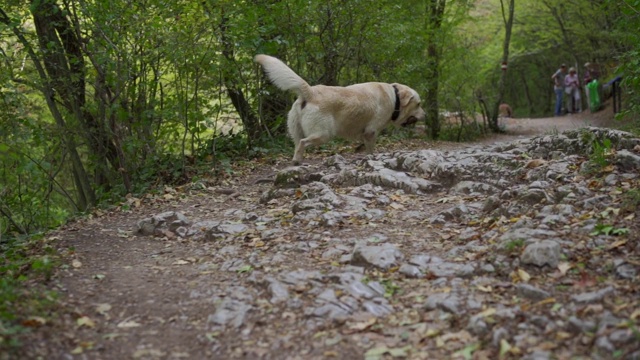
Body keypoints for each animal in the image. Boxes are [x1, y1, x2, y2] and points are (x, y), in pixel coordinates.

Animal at [255, 54, 424, 164]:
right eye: (418, 104)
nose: (425, 114)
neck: (394, 97)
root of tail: (310, 91)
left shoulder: (365, 133)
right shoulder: (371, 132)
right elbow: (370, 149)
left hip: (296, 130)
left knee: (297, 144)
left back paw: (297, 160)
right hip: (324, 133)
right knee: (303, 142)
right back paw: (297, 161)